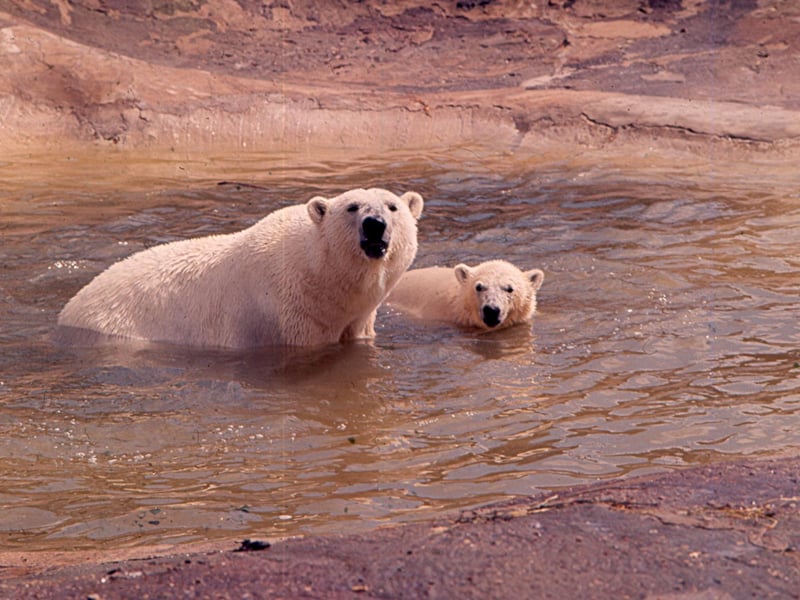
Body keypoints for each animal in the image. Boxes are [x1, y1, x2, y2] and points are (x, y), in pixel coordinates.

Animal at [56, 188, 424, 348]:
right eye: (352, 207)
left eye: (392, 206)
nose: (374, 225)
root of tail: (68, 309)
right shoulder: (290, 316)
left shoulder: (356, 316)